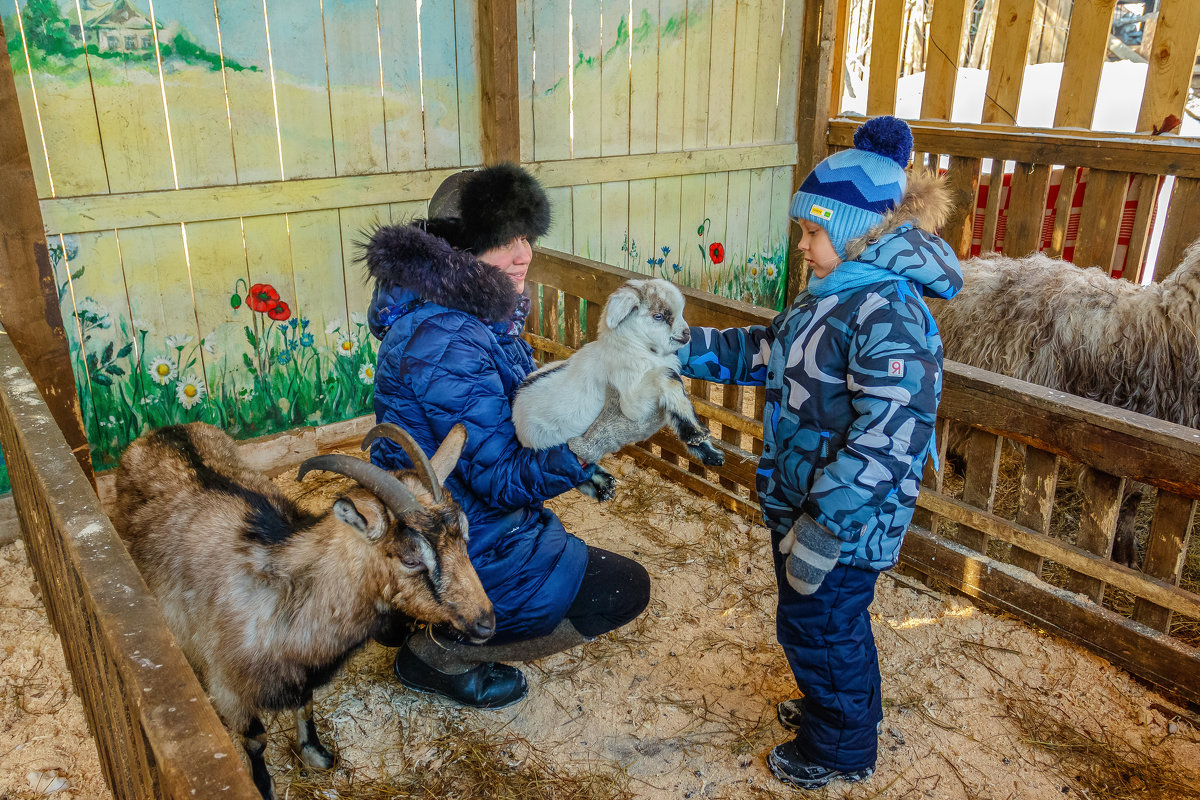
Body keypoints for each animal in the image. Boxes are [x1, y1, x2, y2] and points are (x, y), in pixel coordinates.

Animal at [109, 422, 492, 796]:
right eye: (410, 559)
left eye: (465, 535)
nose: (486, 622)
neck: (291, 589)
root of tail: (160, 432)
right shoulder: (229, 686)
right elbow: (255, 740)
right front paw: (263, 787)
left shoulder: (302, 669)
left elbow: (305, 704)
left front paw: (316, 755)